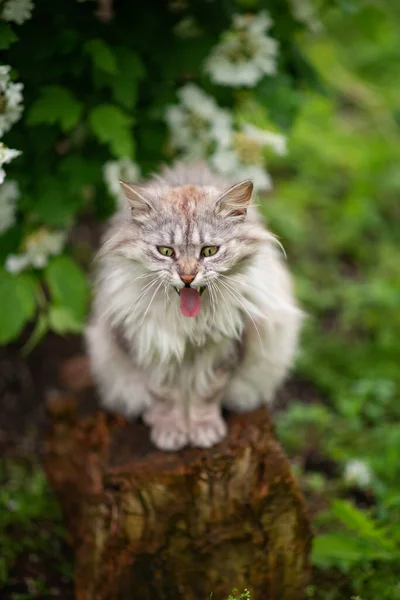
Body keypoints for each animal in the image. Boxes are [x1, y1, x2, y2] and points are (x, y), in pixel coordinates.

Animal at [86, 163, 302, 450]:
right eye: (166, 251)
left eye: (209, 251)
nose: (187, 277)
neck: (190, 324)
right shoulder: (152, 348)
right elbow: (164, 398)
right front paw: (170, 433)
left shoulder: (224, 350)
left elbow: (206, 396)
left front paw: (203, 432)